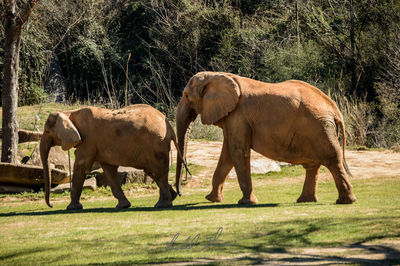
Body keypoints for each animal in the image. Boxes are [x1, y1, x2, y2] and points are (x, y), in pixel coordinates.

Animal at [40, 104, 184, 210]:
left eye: (47, 131)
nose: (51, 205)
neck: (69, 113)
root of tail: (169, 127)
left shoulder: (88, 141)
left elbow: (81, 168)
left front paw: (71, 208)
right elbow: (109, 170)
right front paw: (123, 206)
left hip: (155, 144)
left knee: (157, 171)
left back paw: (162, 205)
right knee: (152, 171)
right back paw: (172, 197)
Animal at [175, 71, 356, 205]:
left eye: (186, 96)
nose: (180, 194)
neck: (216, 75)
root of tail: (334, 107)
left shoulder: (238, 116)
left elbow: (238, 151)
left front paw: (246, 203)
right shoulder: (232, 118)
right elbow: (227, 154)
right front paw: (212, 199)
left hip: (320, 127)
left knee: (332, 159)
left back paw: (345, 201)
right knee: (312, 165)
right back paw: (306, 201)